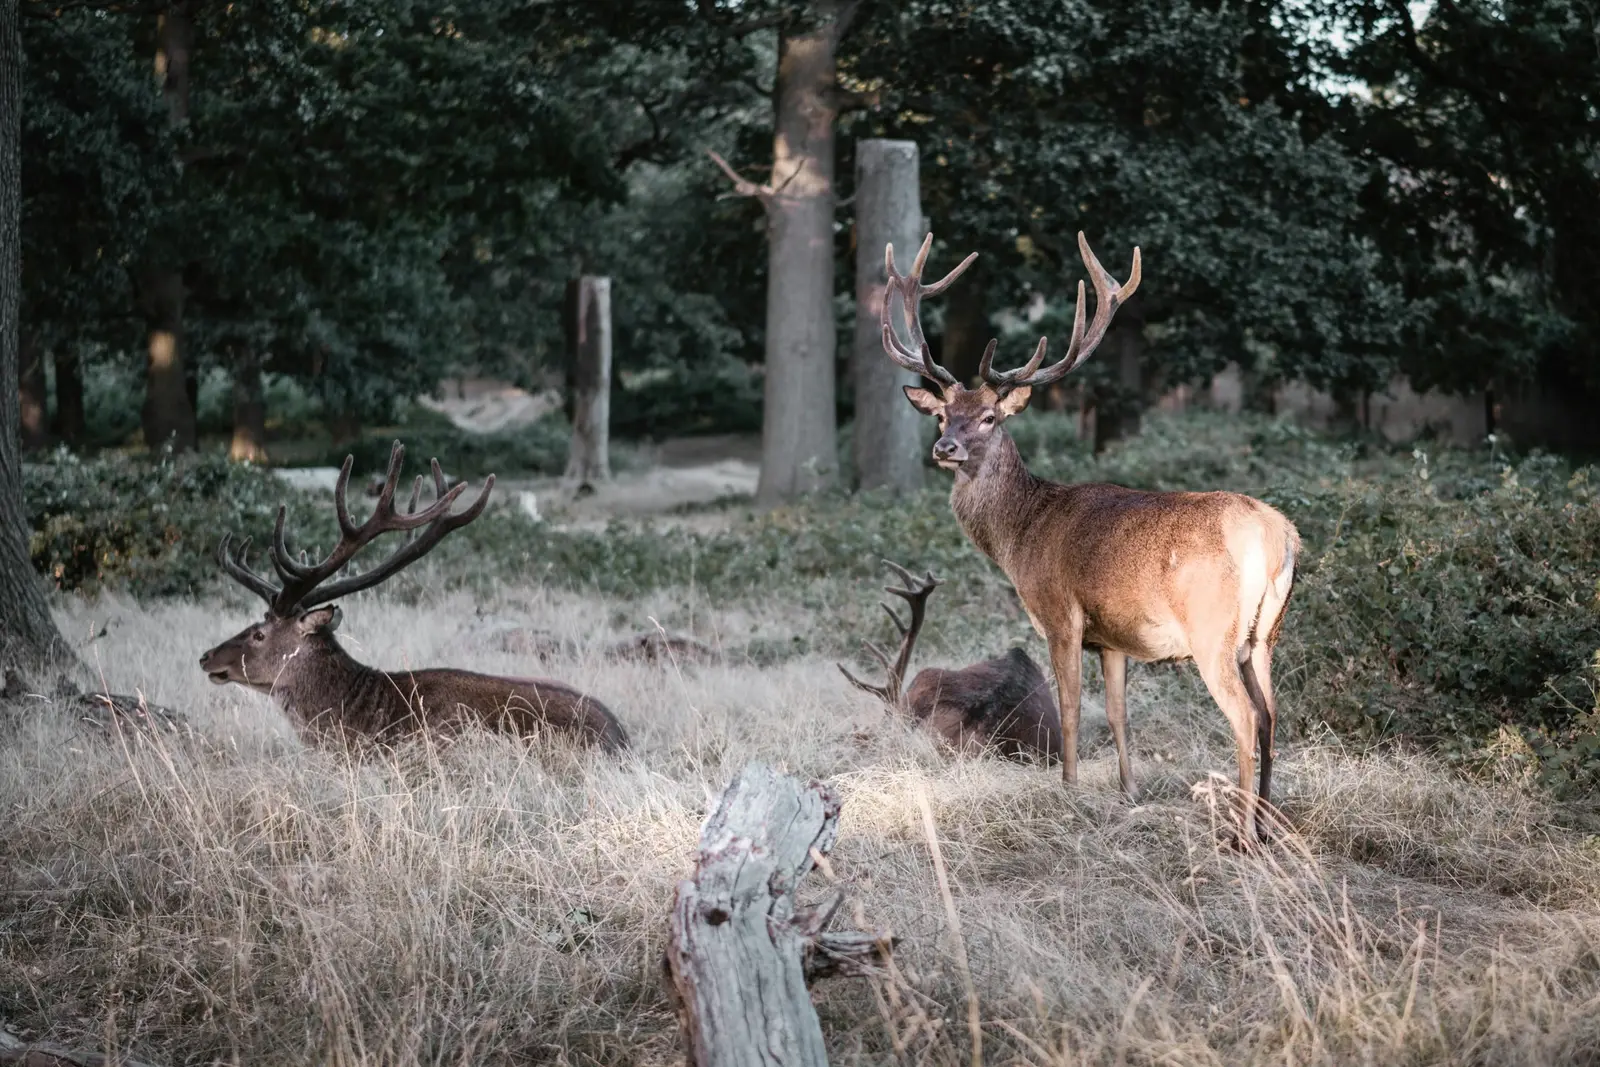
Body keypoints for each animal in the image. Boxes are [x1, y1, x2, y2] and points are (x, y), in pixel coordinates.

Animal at [879, 232, 1300, 844]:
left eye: (989, 418)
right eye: (942, 416)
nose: (945, 448)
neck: (1020, 536)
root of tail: (1280, 537)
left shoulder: (1061, 614)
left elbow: (1074, 709)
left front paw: (1070, 792)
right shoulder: (1114, 638)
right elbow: (1119, 713)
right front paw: (1128, 792)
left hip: (1212, 632)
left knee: (1246, 717)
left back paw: (1240, 834)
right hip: (1265, 635)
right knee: (1271, 714)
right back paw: (1267, 823)